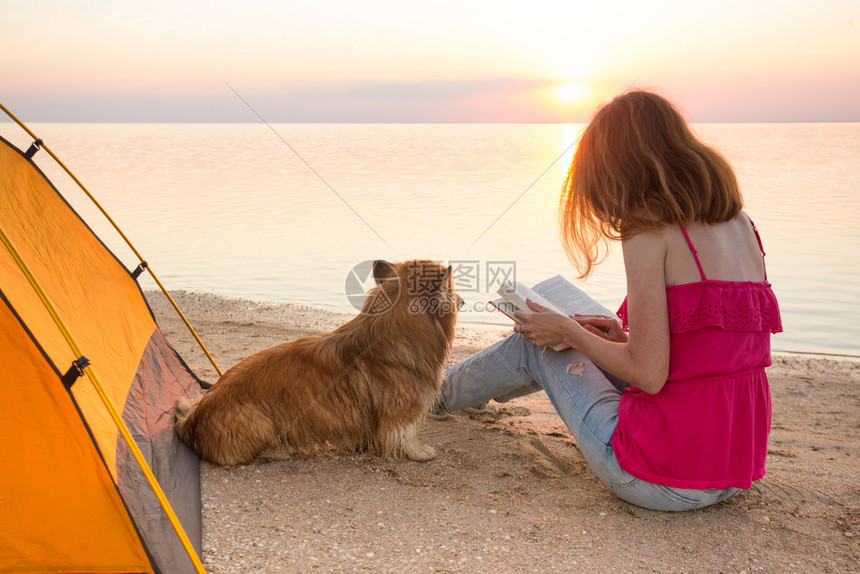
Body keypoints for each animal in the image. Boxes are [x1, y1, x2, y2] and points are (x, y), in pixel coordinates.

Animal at [173, 260, 456, 468]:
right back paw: (280, 450)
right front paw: (419, 452)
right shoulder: (400, 408)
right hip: (261, 422)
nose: (462, 301)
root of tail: (190, 422)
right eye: (452, 289)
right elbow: (405, 435)